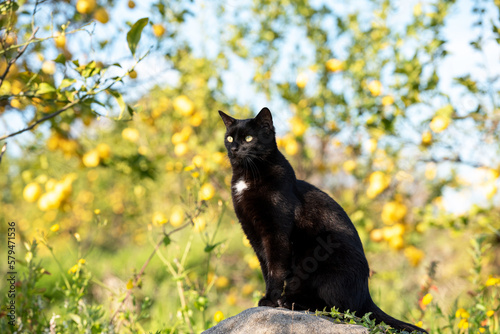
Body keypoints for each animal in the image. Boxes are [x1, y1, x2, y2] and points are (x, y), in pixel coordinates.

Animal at [221, 108, 428, 332]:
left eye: (248, 138)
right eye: (229, 137)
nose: (234, 148)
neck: (247, 177)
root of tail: (366, 295)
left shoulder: (276, 233)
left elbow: (276, 269)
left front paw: (270, 300)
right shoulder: (254, 234)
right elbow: (266, 268)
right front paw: (269, 299)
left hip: (326, 262)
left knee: (340, 309)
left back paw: (291, 302)